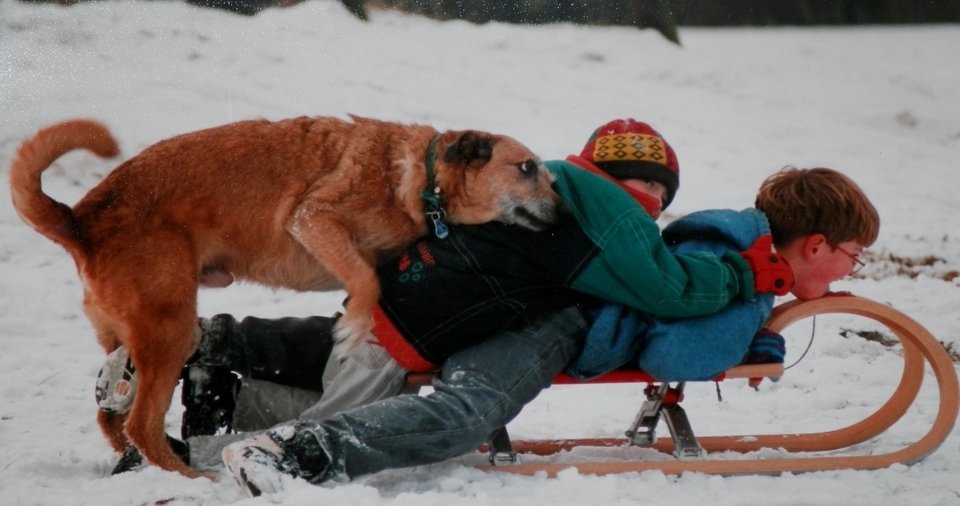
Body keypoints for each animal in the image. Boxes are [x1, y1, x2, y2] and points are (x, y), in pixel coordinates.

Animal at [7, 115, 560, 478]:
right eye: (526, 168)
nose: (564, 215)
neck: (422, 179)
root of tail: (81, 220)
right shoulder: (314, 217)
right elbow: (367, 281)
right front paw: (354, 327)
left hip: (144, 332)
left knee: (113, 416)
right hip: (169, 330)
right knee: (141, 425)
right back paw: (189, 480)